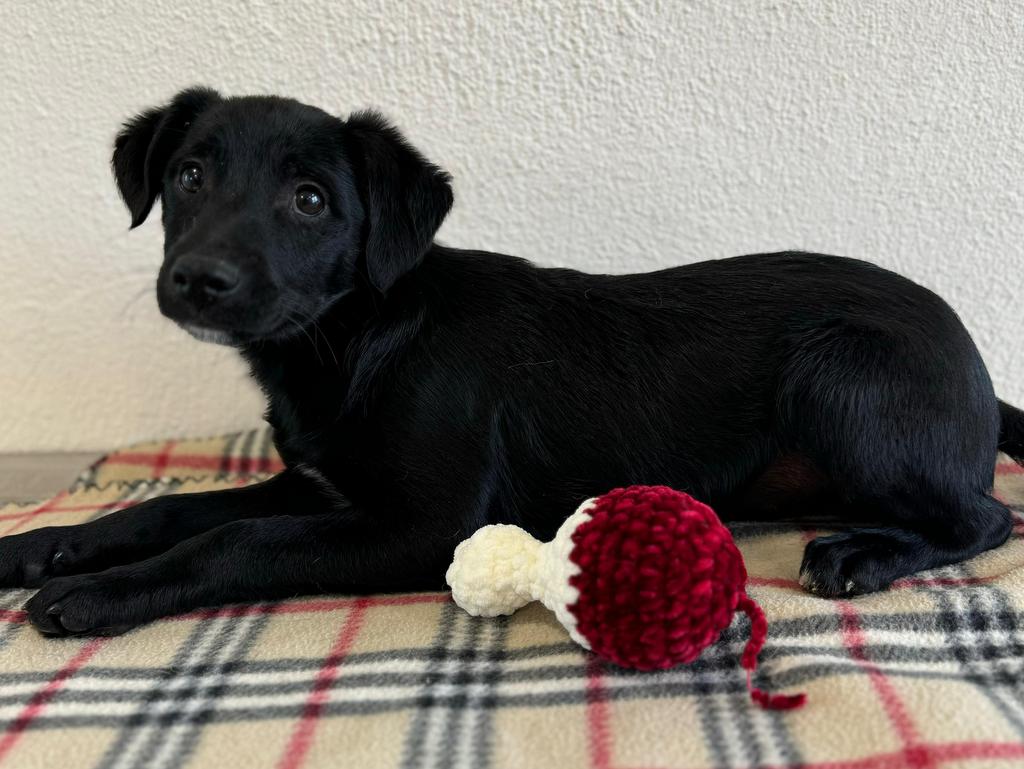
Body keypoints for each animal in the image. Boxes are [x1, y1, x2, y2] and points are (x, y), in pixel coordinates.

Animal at [2, 87, 1021, 636]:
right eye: (188, 176)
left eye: (310, 200)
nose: (197, 279)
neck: (360, 337)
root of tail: (974, 369)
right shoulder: (322, 484)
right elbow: (175, 509)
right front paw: (45, 544)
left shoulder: (424, 524)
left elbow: (235, 539)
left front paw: (93, 593)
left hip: (843, 375)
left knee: (987, 515)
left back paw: (862, 552)